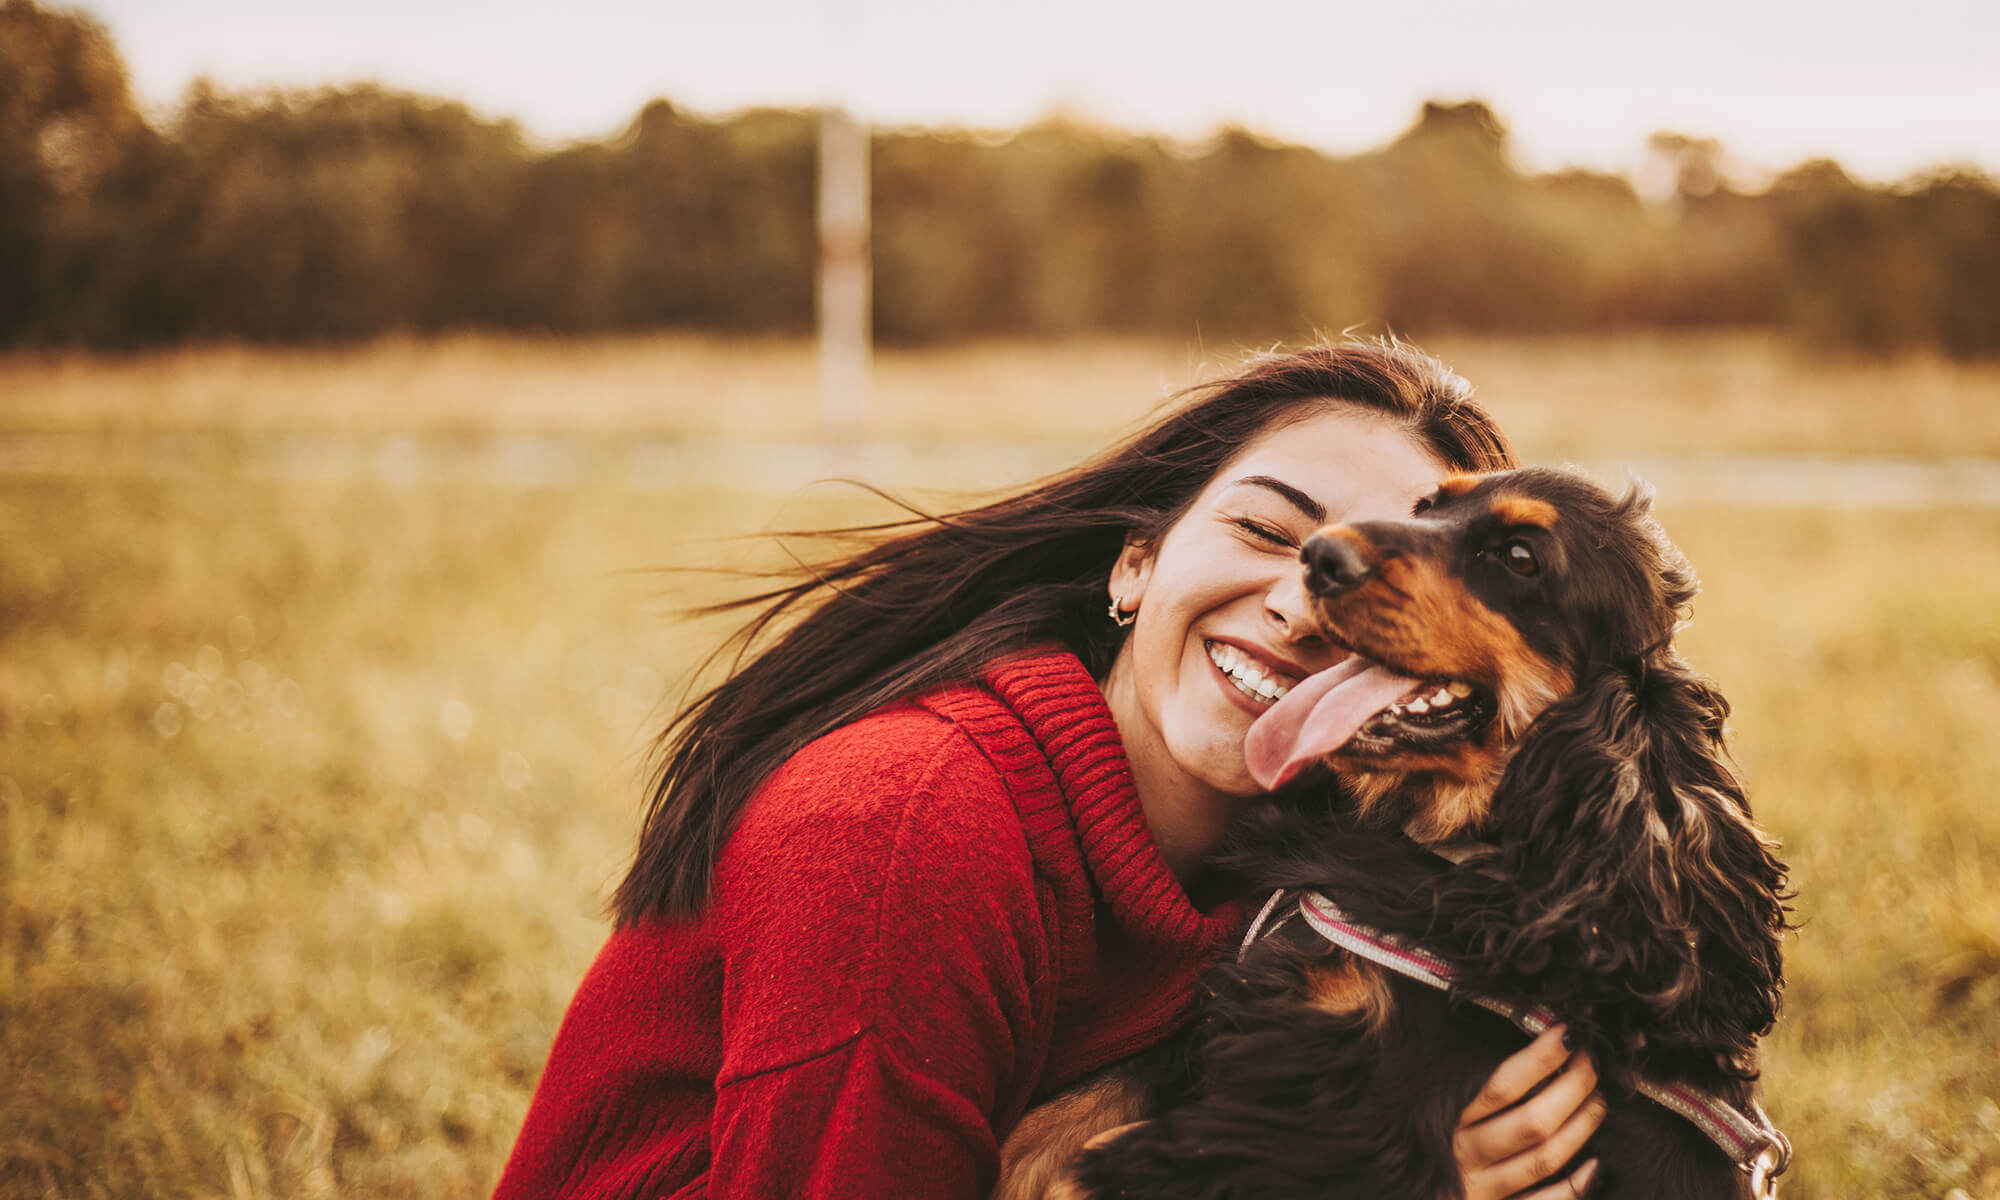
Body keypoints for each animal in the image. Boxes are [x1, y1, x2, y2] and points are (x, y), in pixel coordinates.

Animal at [1000, 466, 1800, 1200]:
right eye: (1427, 507)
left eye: (1519, 556)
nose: (1319, 556)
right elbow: (1051, 1126)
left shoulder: (1332, 1118)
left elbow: (1092, 1168)